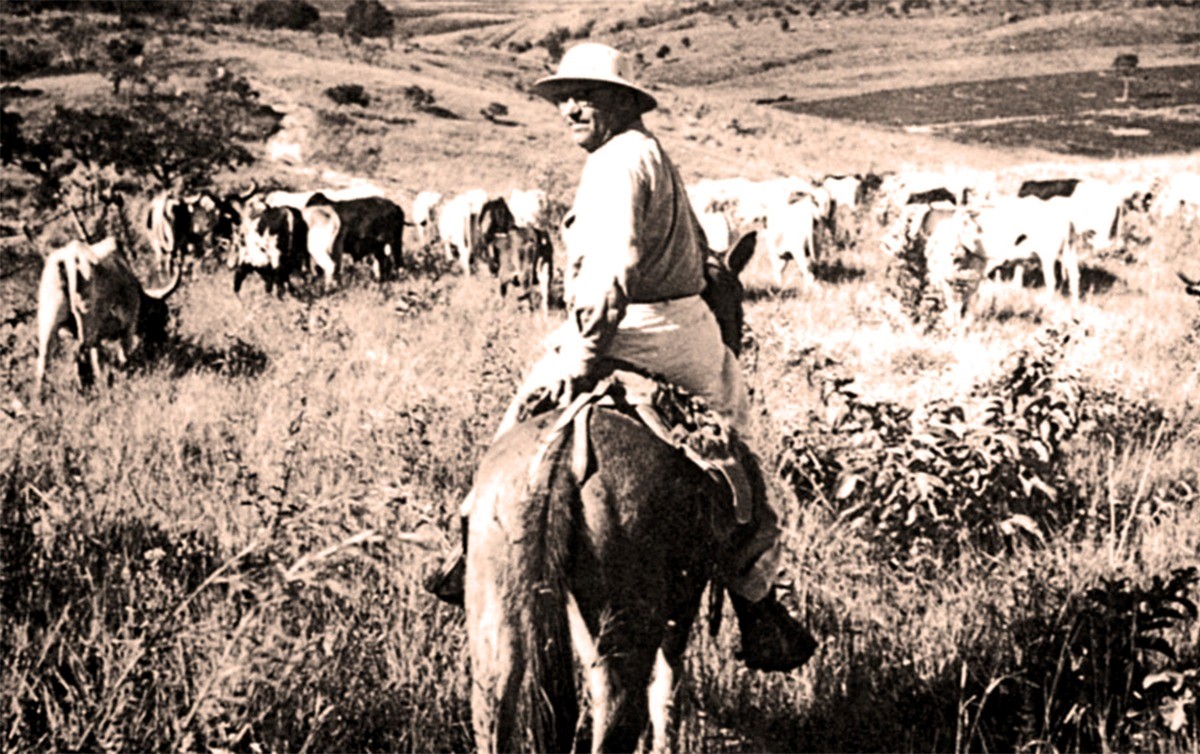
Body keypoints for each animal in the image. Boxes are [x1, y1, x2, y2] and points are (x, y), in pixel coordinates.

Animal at [36, 238, 180, 398]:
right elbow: (122, 355)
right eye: (161, 316)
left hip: (48, 324)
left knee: (45, 362)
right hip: (87, 322)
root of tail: (69, 257)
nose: (163, 341)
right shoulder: (128, 326)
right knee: (80, 353)